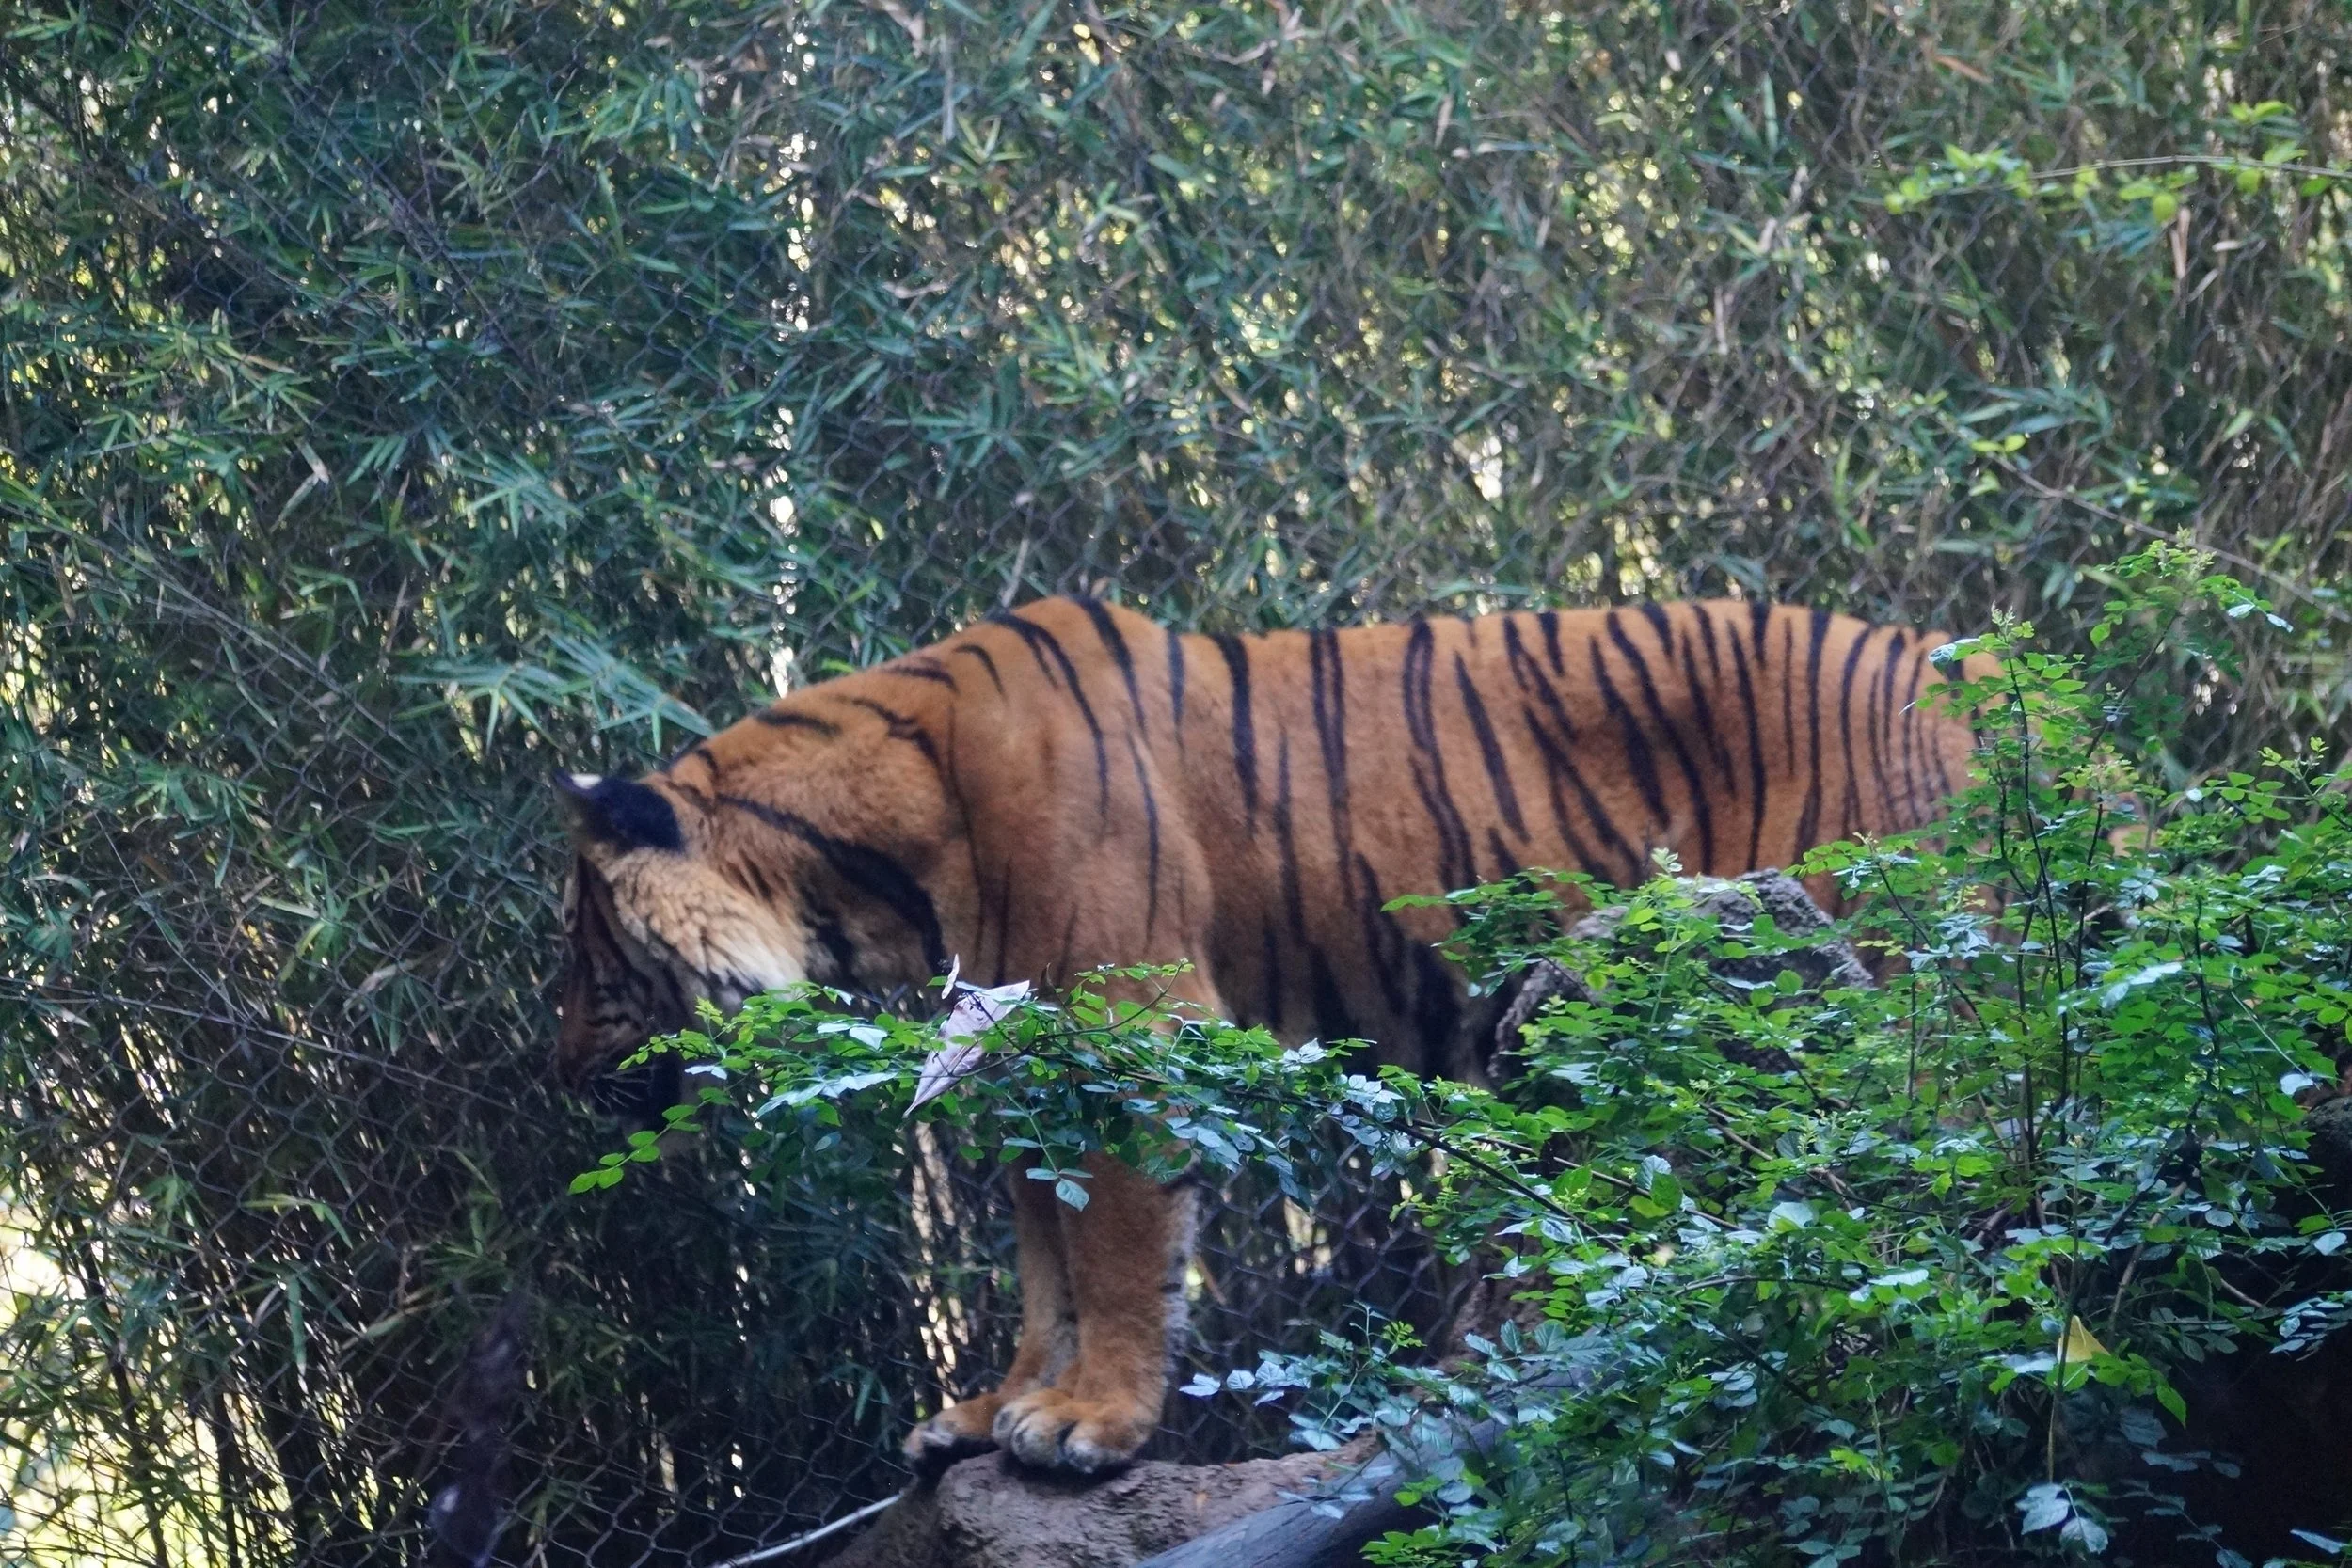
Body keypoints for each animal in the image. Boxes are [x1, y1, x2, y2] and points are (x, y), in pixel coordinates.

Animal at [552, 595, 1991, 1476]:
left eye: (583, 949)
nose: (563, 1072)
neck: (881, 870)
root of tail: (1960, 666)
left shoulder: (1125, 1028)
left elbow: (1119, 1245)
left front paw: (1089, 1422)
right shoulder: (1022, 1054)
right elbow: (1043, 1259)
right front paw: (990, 1410)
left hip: (1911, 971)